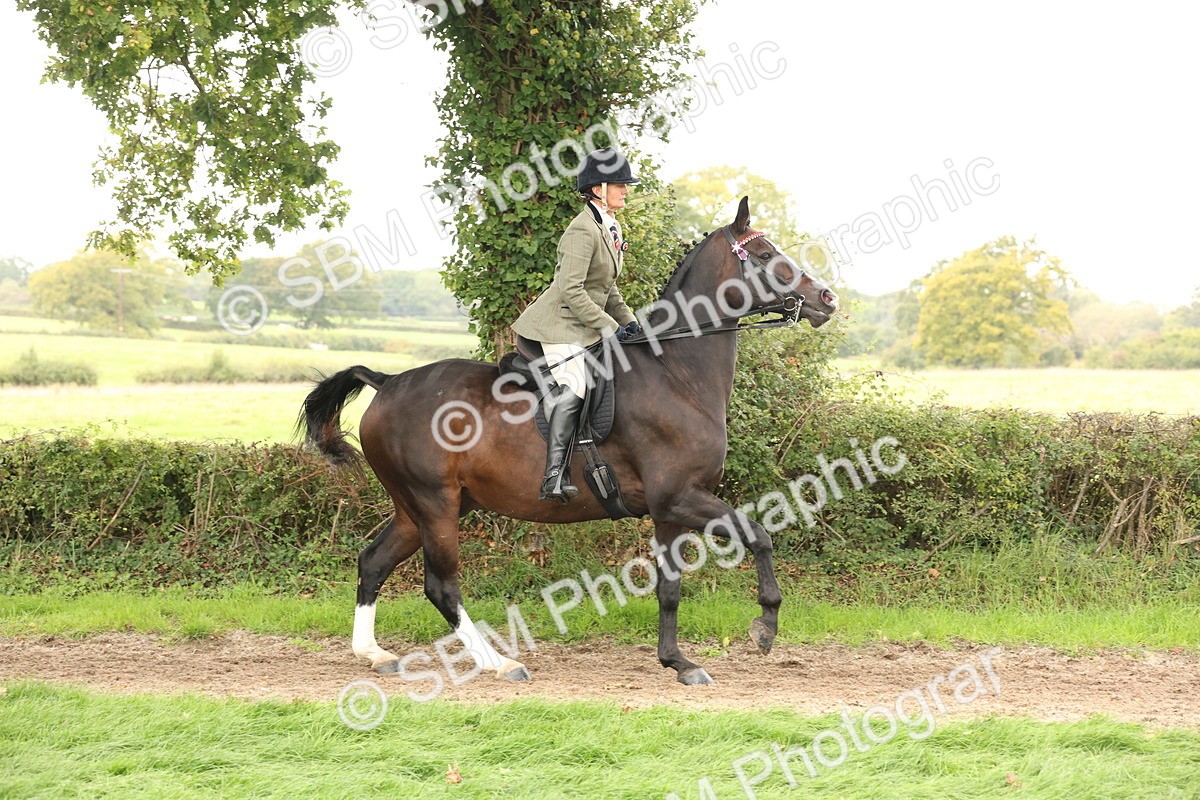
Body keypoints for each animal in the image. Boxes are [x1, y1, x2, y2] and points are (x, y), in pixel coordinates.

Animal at [299, 196, 839, 685]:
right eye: (766, 254)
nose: (827, 299)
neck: (675, 372)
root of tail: (388, 381)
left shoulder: (669, 508)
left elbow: (670, 588)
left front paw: (678, 663)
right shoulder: (682, 497)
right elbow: (760, 535)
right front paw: (765, 627)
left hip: (418, 507)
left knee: (373, 562)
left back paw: (374, 654)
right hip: (435, 505)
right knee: (441, 586)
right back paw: (500, 663)